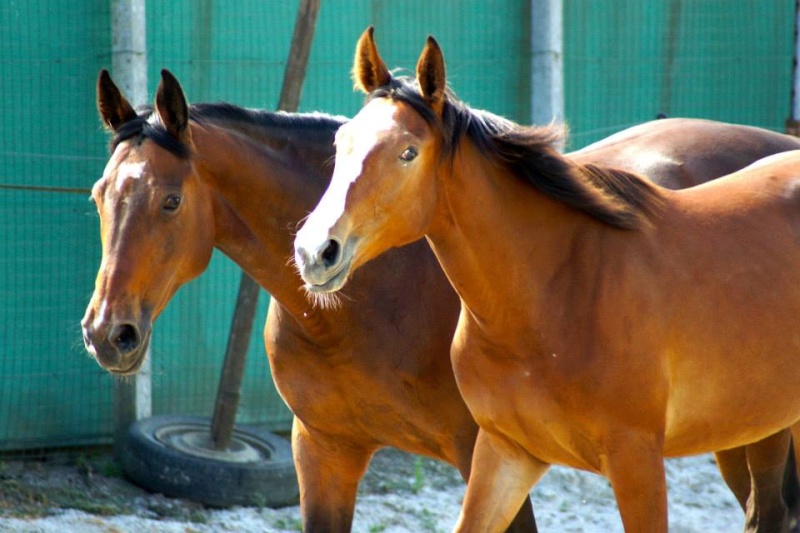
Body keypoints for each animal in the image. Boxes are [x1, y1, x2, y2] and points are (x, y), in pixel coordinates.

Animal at [294, 29, 800, 532]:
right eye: (340, 143)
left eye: (407, 152)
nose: (315, 251)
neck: (554, 294)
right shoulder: (505, 453)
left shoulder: (636, 458)